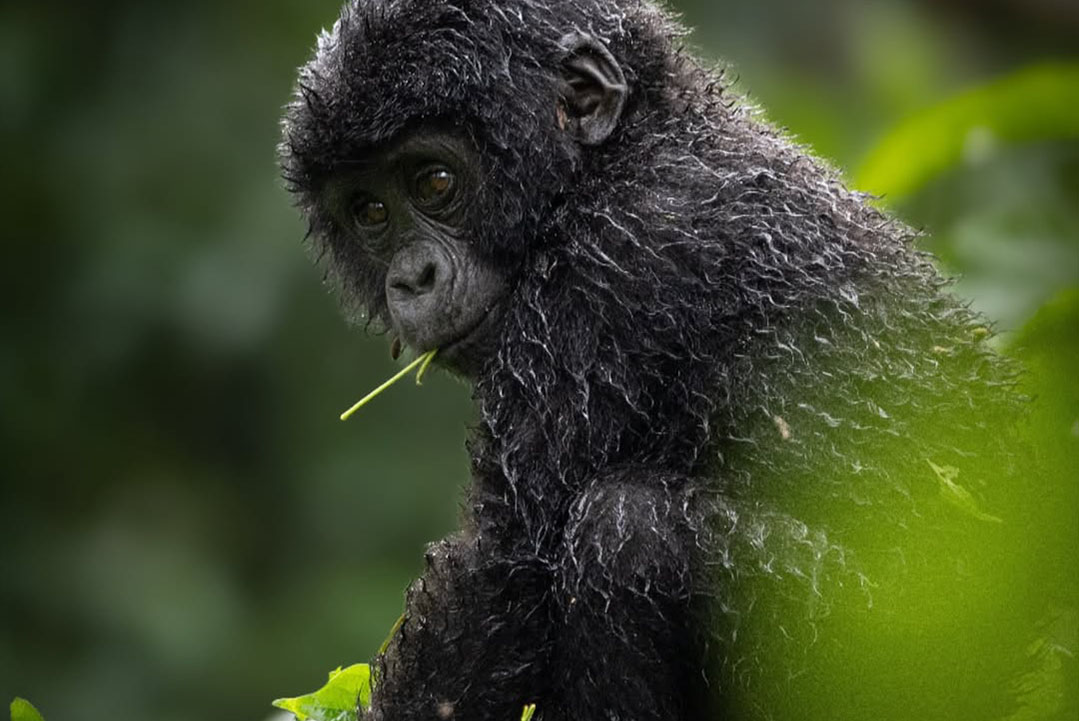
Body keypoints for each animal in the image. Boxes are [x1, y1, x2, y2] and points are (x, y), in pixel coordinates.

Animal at [279, 1, 1030, 719]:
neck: (625, 148)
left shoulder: (607, 270)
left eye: (434, 182)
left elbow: (505, 572)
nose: (412, 278)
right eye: (370, 211)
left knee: (625, 532)